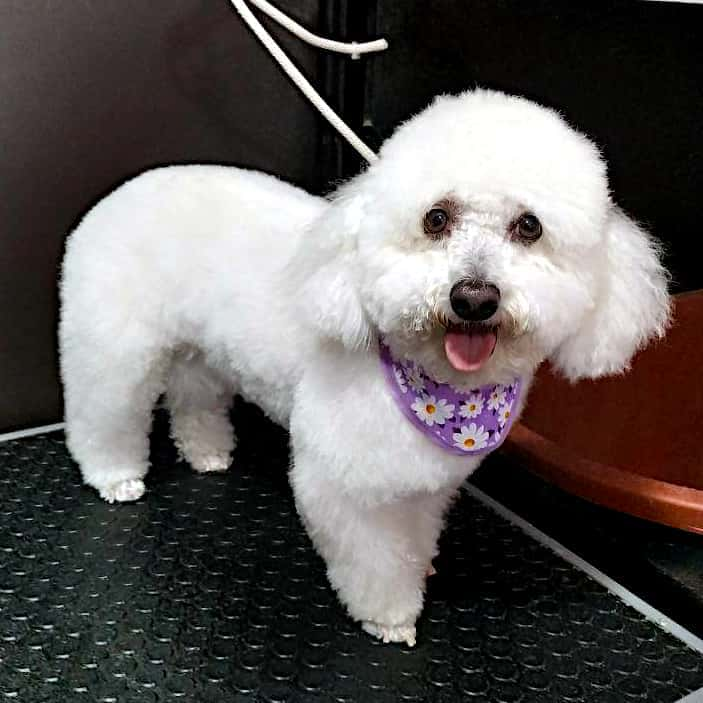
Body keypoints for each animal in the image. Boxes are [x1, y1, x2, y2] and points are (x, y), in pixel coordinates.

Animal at [57, 91, 668, 648]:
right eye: (436, 218)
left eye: (529, 227)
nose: (473, 297)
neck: (442, 390)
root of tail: (124, 191)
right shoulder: (347, 482)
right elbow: (374, 558)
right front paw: (390, 615)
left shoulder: (423, 483)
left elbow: (414, 536)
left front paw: (419, 565)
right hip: (113, 346)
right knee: (102, 411)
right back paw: (114, 474)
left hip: (202, 349)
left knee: (194, 396)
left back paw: (207, 450)